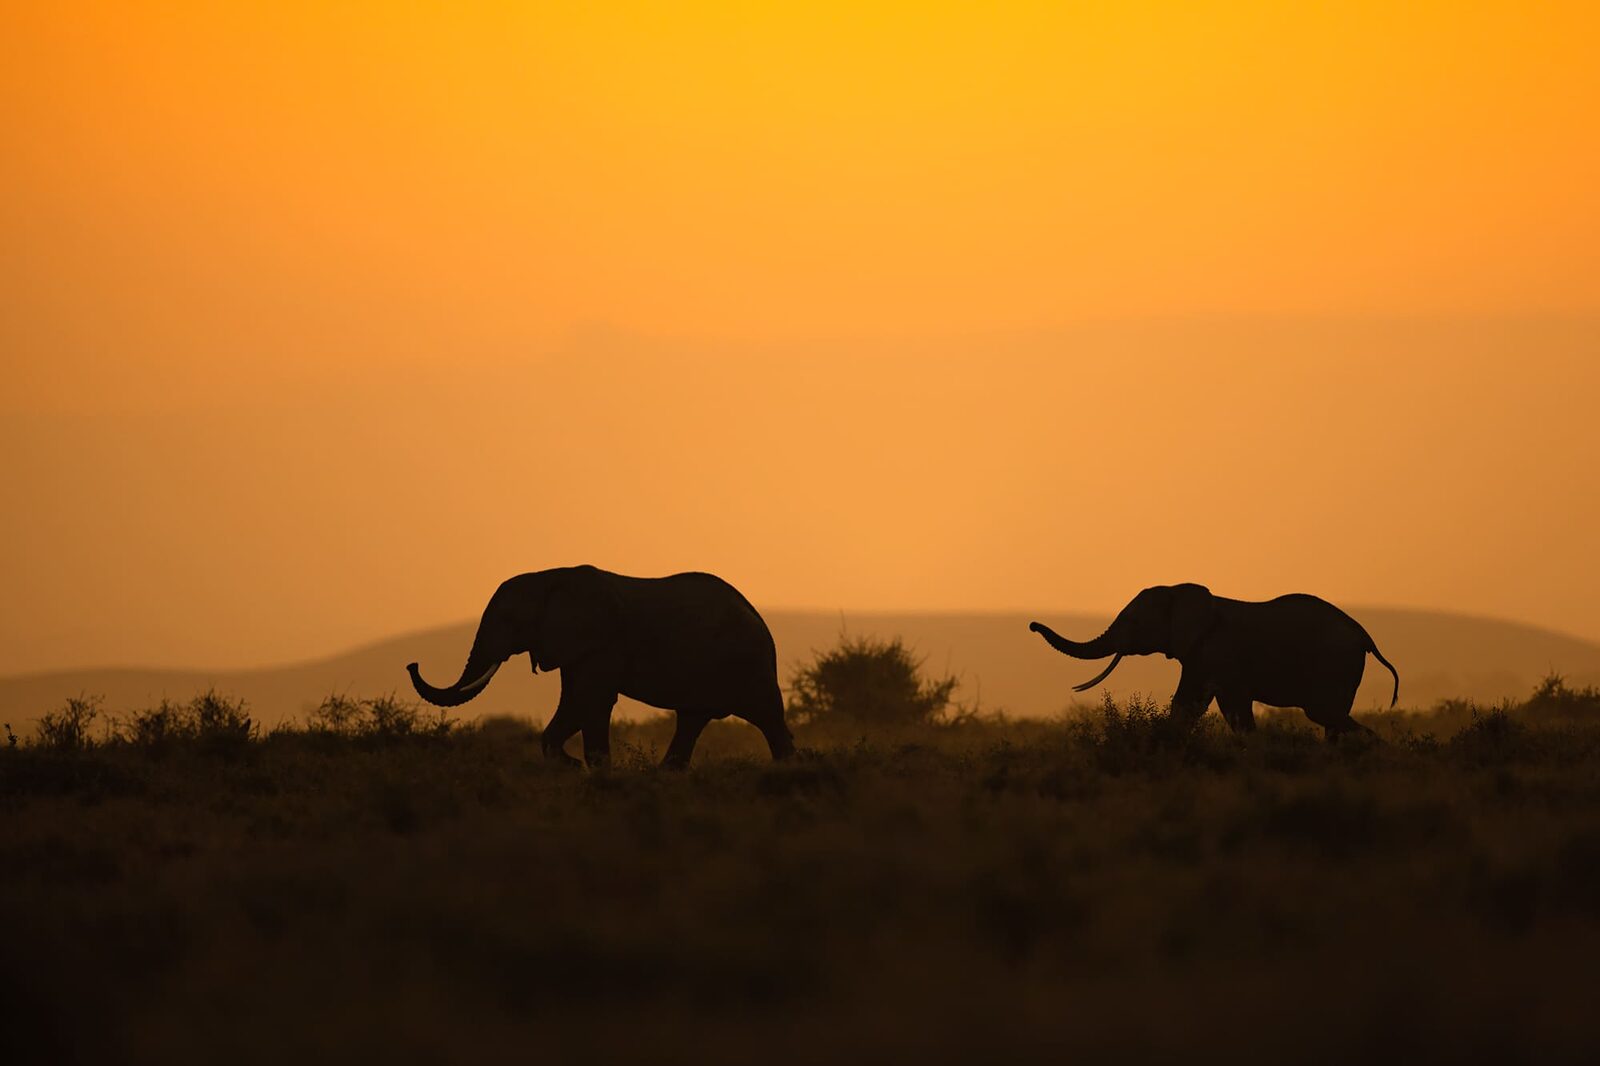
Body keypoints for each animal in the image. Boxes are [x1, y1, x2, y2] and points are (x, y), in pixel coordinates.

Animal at [407, 566, 794, 768]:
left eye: (508, 620)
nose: (412, 663)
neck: (549, 577)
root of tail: (757, 616)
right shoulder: (574, 648)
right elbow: (575, 703)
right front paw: (573, 766)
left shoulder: (602, 643)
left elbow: (591, 702)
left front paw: (592, 771)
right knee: (692, 720)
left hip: (749, 663)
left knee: (768, 717)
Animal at [1029, 584, 1400, 739]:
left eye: (1133, 621)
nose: (1032, 625)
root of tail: (1366, 636)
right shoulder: (1196, 654)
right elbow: (1187, 704)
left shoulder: (1220, 653)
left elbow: (1230, 706)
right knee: (1331, 719)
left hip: (1335, 663)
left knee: (1324, 713)